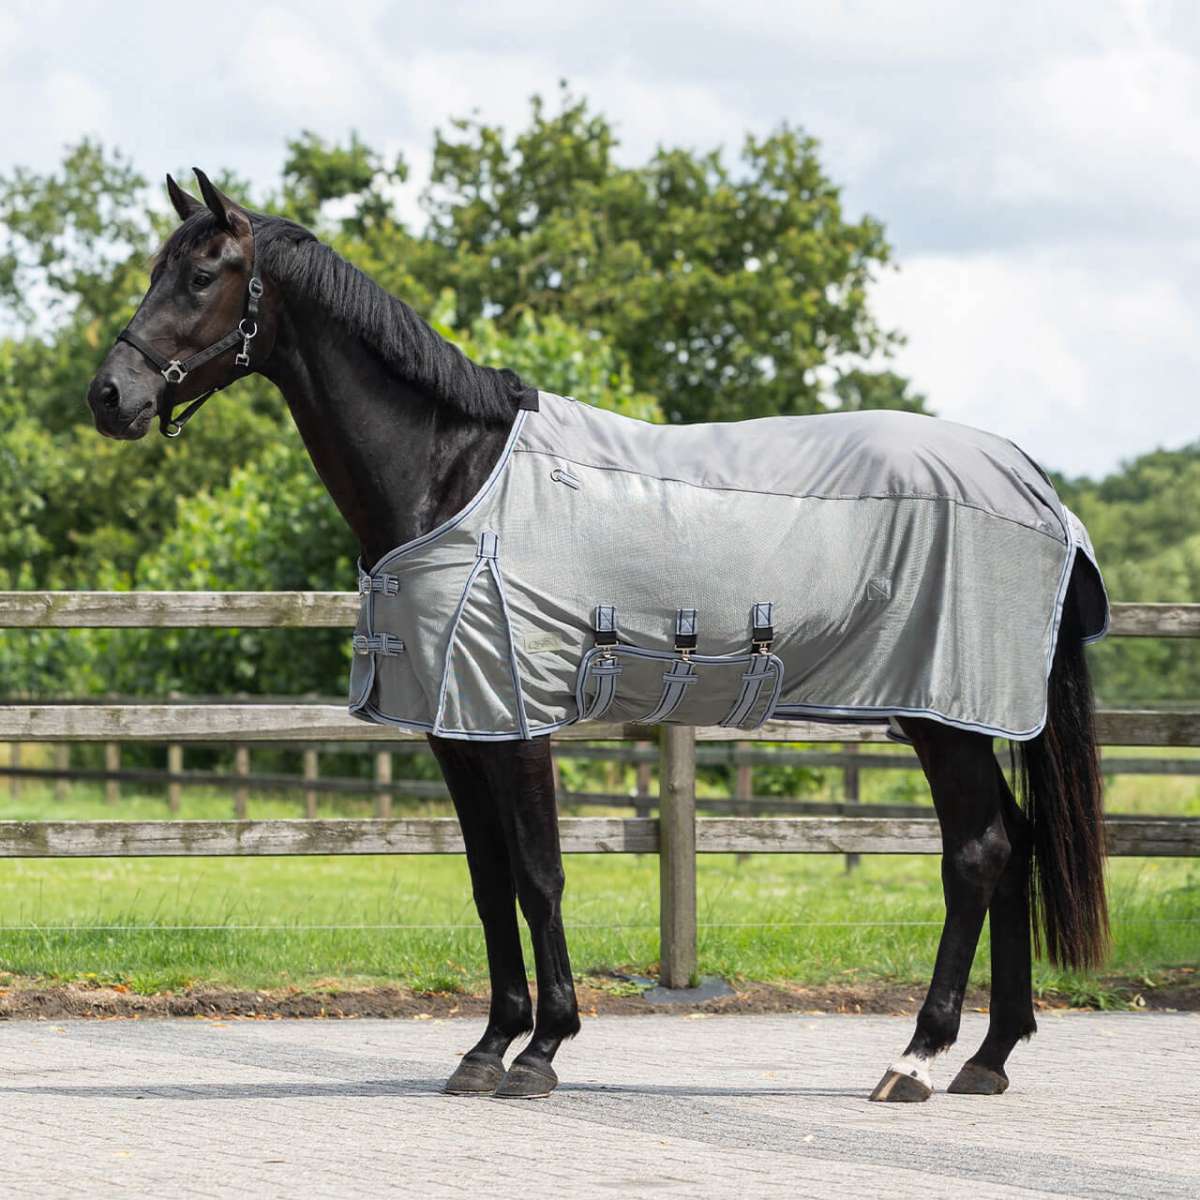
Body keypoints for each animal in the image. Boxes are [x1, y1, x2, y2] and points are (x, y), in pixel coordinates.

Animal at [85, 170, 1109, 1103]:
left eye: (202, 275)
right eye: (155, 271)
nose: (108, 395)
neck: (453, 474)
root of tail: (1030, 479)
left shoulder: (514, 718)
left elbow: (539, 875)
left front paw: (543, 1049)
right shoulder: (456, 729)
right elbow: (488, 881)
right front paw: (486, 1048)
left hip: (945, 716)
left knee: (977, 853)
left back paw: (917, 1057)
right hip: (956, 718)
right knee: (1013, 845)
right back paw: (988, 1058)